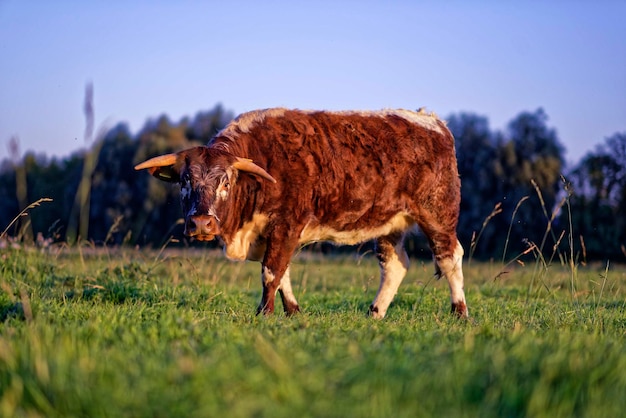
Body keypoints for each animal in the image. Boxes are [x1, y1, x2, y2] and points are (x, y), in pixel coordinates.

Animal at [136, 108, 468, 320]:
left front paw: (264, 313)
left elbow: (271, 271)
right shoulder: (272, 233)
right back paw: (375, 313)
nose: (202, 223)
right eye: (185, 181)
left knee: (450, 257)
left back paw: (460, 312)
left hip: (438, 214)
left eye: (226, 182)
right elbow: (283, 272)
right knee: (395, 265)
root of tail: (430, 120)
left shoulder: (286, 224)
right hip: (390, 224)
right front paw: (292, 312)